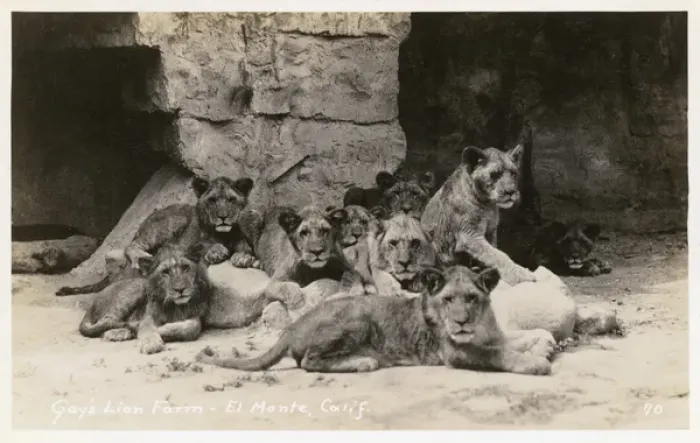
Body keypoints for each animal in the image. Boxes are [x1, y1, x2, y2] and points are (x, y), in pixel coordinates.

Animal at [56, 175, 256, 296]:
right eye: (212, 200)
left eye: (231, 200)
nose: (223, 216)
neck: (224, 234)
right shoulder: (188, 245)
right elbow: (204, 243)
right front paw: (216, 251)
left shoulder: (238, 235)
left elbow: (244, 243)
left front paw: (243, 256)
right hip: (170, 223)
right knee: (133, 245)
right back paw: (140, 257)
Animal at [78, 245, 211, 354]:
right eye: (165, 272)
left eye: (185, 267)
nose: (180, 289)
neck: (175, 306)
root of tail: (94, 300)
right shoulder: (148, 315)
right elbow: (146, 326)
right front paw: (150, 342)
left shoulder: (197, 315)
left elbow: (192, 327)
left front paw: (163, 329)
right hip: (134, 292)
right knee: (105, 323)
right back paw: (118, 332)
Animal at [195, 265, 556, 375]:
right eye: (448, 300)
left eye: (471, 298)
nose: (462, 323)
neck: (478, 325)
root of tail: (292, 326)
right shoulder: (455, 352)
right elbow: (499, 353)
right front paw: (536, 362)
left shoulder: (489, 334)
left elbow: (515, 338)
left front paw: (546, 345)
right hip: (358, 319)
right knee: (309, 361)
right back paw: (363, 362)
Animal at [420, 145, 537, 285]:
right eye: (494, 175)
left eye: (513, 173)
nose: (511, 192)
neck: (487, 204)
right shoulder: (470, 235)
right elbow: (498, 256)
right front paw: (522, 275)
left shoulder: (491, 231)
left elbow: (492, 254)